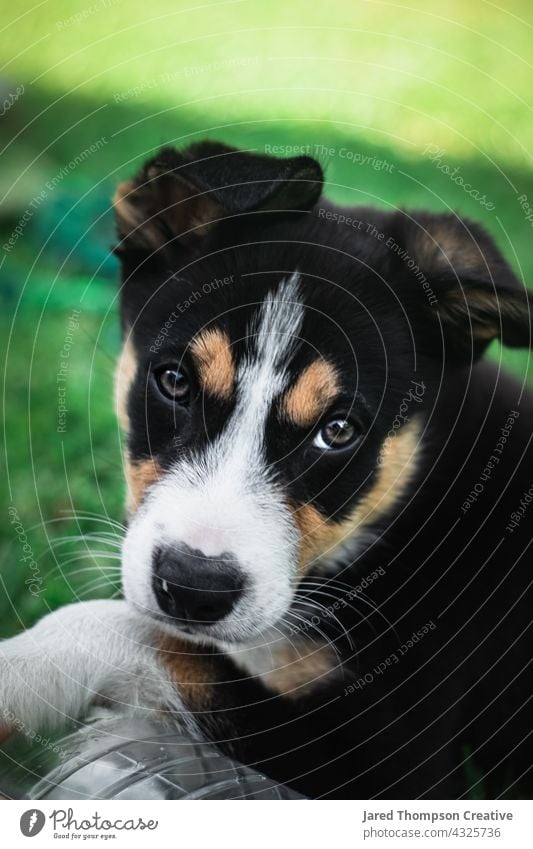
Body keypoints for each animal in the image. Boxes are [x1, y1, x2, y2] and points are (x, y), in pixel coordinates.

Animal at [1, 142, 532, 800]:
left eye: (338, 431)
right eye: (173, 380)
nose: (194, 588)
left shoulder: (400, 765)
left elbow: (153, 638)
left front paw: (19, 669)